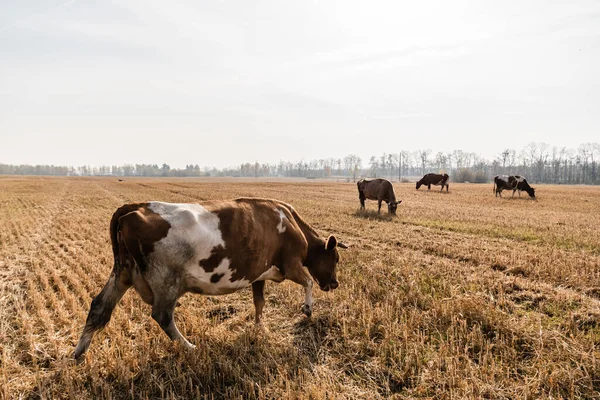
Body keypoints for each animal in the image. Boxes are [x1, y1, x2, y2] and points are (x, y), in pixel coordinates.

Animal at [74, 198, 346, 360]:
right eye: (336, 258)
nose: (335, 284)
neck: (290, 223)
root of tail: (132, 208)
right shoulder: (290, 264)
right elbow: (308, 282)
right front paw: (308, 309)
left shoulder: (259, 274)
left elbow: (259, 302)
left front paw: (259, 328)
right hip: (166, 282)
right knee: (162, 316)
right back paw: (189, 347)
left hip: (122, 273)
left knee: (99, 306)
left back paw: (79, 353)